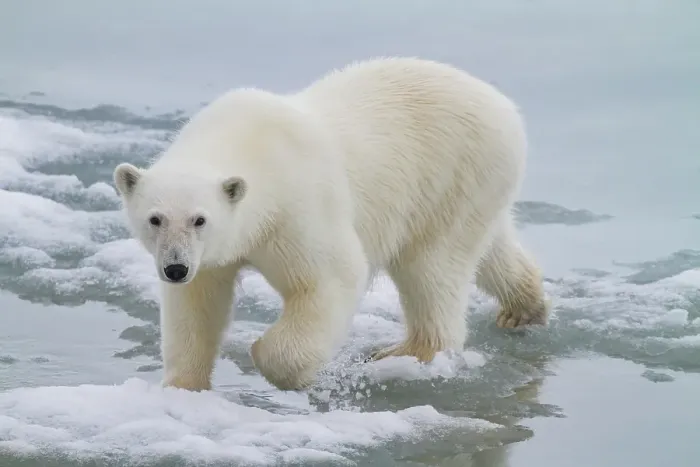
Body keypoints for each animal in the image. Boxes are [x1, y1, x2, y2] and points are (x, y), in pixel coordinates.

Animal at [113, 57, 548, 392]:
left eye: (200, 219)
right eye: (155, 218)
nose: (175, 267)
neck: (249, 144)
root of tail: (504, 105)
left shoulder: (295, 207)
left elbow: (331, 276)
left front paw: (275, 363)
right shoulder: (212, 257)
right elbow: (197, 304)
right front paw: (183, 387)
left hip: (454, 171)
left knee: (431, 266)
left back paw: (408, 352)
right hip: (472, 188)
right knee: (487, 246)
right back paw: (523, 308)